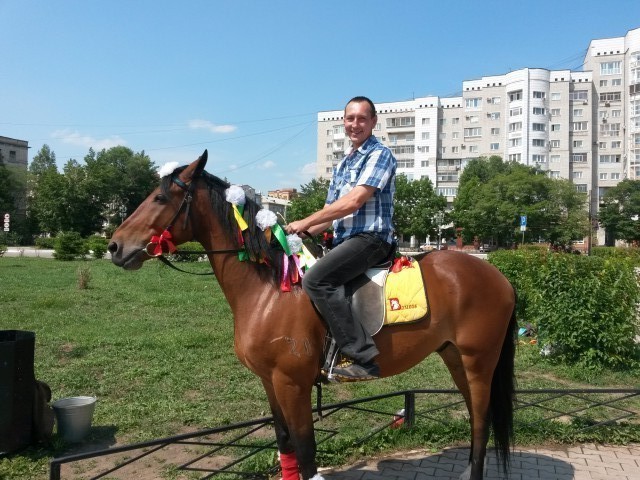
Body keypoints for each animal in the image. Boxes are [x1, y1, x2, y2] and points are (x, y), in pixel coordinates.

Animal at [109, 152, 516, 480]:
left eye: (160, 197)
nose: (114, 246)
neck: (269, 290)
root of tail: (499, 276)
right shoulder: (270, 382)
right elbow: (284, 443)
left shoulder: (292, 384)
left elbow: (305, 450)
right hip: (454, 356)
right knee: (476, 415)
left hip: (478, 361)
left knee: (481, 420)